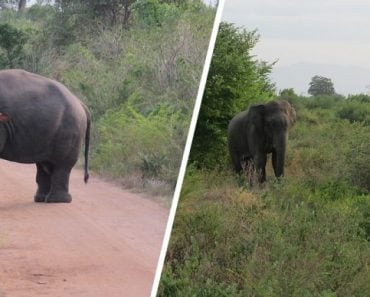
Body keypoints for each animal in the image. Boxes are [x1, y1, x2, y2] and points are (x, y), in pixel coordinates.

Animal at [0, 68, 90, 202]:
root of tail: (80, 103)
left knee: (61, 165)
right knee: (44, 165)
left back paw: (57, 200)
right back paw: (41, 198)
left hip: (70, 131)